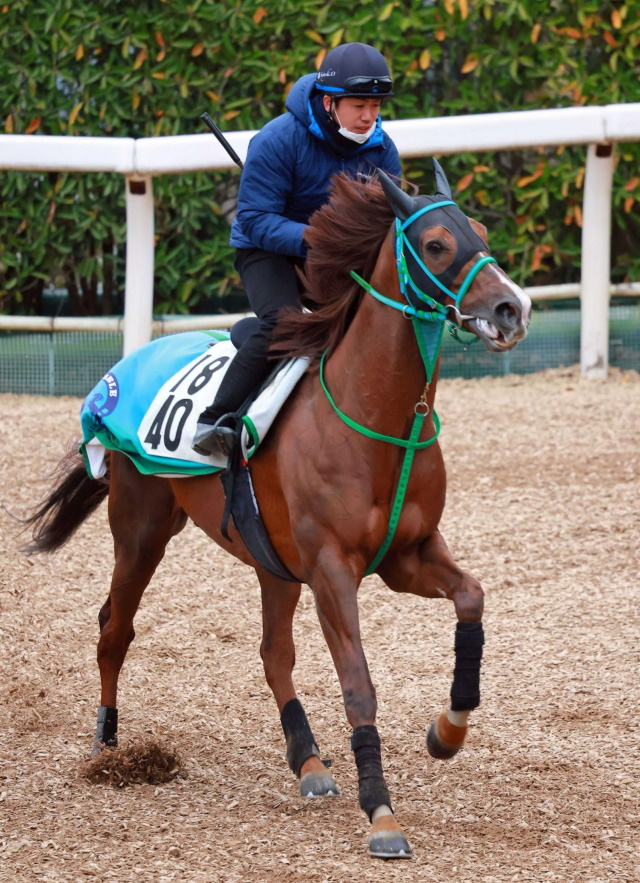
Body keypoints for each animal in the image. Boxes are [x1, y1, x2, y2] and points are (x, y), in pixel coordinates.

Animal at [23, 162, 528, 860]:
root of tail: (120, 372)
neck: (374, 417)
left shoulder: (406, 554)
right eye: (434, 244)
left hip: (272, 561)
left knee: (272, 653)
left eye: (478, 228)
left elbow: (472, 598)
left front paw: (446, 732)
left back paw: (308, 761)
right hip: (142, 529)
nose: (513, 308)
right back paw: (106, 744)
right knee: (113, 629)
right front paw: (382, 814)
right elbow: (358, 683)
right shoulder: (332, 569)